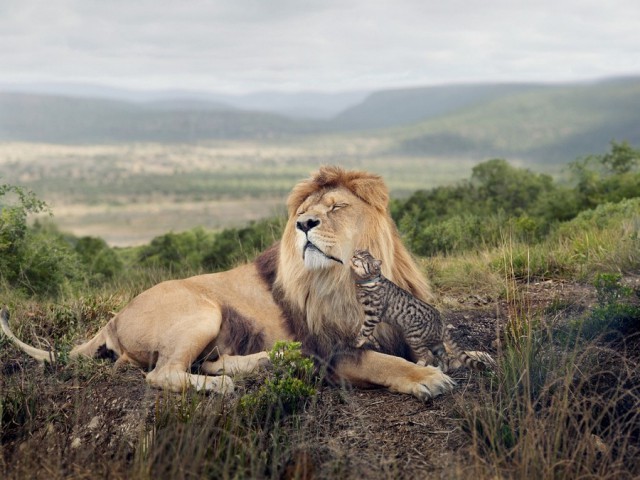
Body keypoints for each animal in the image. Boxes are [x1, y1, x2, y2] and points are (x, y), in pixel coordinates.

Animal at [3, 167, 456, 400]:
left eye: (337, 207)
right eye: (304, 212)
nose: (303, 224)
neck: (345, 278)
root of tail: (113, 319)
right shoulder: (331, 352)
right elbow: (383, 362)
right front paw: (427, 378)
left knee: (202, 361)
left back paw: (265, 362)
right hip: (203, 310)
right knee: (163, 373)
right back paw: (220, 384)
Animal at [350, 249, 490, 374]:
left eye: (361, 258)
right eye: (356, 252)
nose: (353, 256)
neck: (367, 282)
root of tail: (440, 320)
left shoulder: (373, 315)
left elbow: (364, 331)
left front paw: (356, 343)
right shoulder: (369, 316)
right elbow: (367, 332)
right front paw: (372, 342)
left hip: (413, 338)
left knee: (425, 356)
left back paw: (420, 366)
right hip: (435, 344)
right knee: (444, 355)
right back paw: (443, 370)